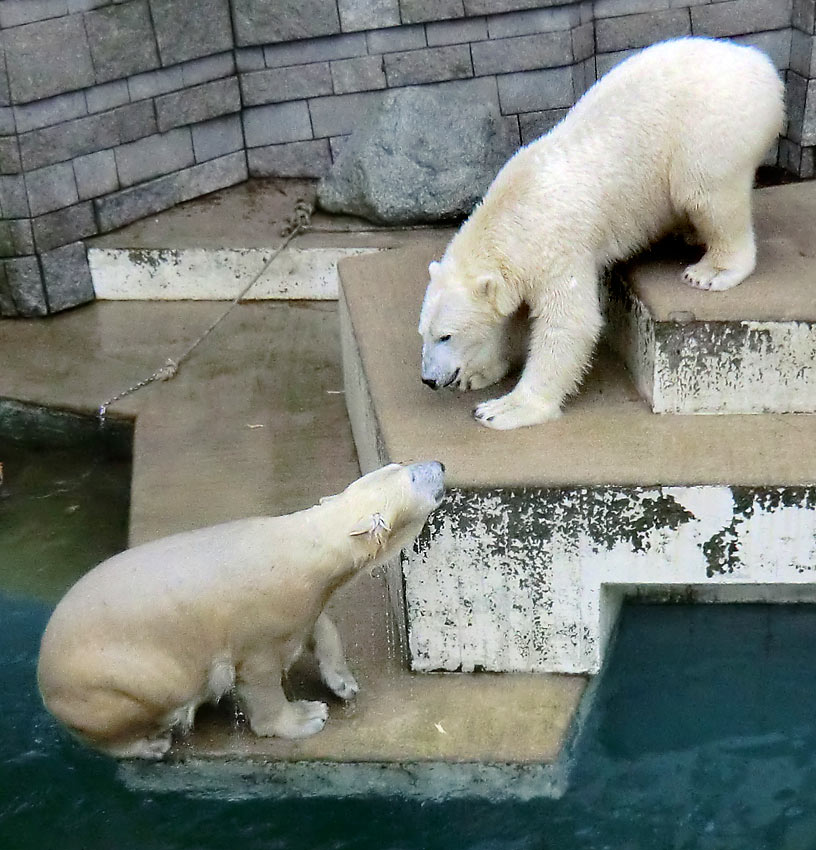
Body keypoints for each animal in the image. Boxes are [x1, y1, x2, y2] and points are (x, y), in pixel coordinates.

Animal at [36, 460, 446, 760]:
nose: (439, 464)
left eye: (399, 464)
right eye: (413, 476)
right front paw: (306, 716)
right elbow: (260, 679)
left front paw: (343, 681)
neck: (303, 545)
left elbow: (319, 625)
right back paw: (150, 743)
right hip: (108, 684)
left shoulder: (301, 603)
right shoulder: (259, 624)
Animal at [420, 36, 784, 428]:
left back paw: (711, 270)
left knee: (704, 192)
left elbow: (569, 322)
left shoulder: (557, 249)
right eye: (424, 333)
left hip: (711, 128)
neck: (515, 212)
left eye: (446, 336)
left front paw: (502, 408)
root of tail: (761, 63)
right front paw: (476, 375)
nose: (428, 380)